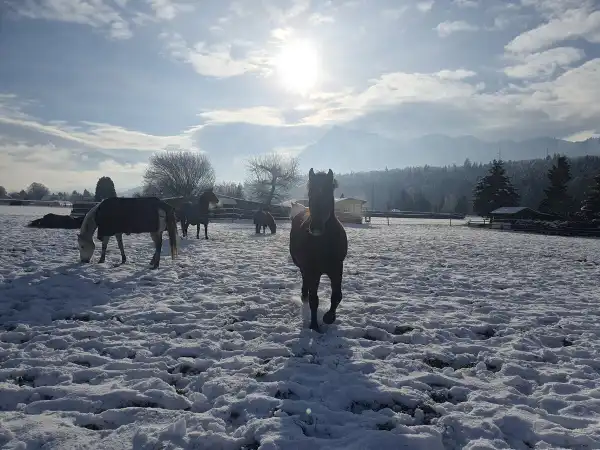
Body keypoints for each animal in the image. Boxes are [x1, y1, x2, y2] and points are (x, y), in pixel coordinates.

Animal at [290, 167, 346, 332]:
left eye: (329, 191)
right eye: (310, 192)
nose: (316, 227)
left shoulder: (337, 268)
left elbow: (337, 295)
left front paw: (329, 317)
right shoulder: (312, 270)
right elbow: (314, 300)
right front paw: (314, 326)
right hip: (306, 269)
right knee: (306, 284)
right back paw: (304, 296)